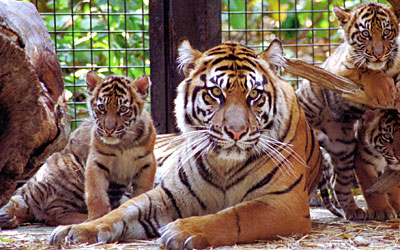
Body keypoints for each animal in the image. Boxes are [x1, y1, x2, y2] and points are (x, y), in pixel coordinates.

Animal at [0, 72, 156, 229]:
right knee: (54, 212)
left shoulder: (146, 164)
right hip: (69, 170)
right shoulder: (95, 162)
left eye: (123, 109)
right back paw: (83, 218)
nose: (109, 129)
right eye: (101, 107)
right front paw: (97, 219)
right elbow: (96, 195)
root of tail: (29, 186)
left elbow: (143, 191)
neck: (124, 142)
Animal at [50, 39, 328, 248]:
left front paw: (183, 230)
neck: (224, 165)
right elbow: (124, 210)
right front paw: (77, 229)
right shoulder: (169, 194)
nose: (236, 132)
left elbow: (233, 216)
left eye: (254, 95)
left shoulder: (284, 203)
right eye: (215, 93)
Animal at [296, 1, 400, 221]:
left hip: (343, 148)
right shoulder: (341, 69)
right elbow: (364, 69)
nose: (378, 54)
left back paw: (354, 211)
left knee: (339, 183)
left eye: (386, 33)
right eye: (365, 35)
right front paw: (382, 88)